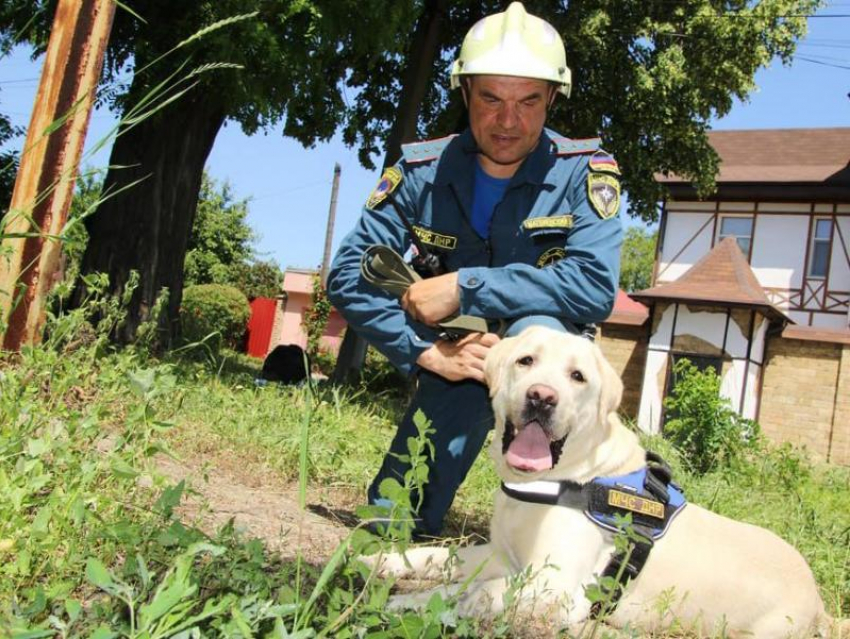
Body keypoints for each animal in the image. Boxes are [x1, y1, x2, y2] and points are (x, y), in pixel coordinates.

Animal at [372, 328, 840, 636]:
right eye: (526, 361)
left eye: (578, 377)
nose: (542, 398)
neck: (558, 481)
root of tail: (820, 604)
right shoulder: (502, 555)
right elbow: (435, 557)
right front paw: (376, 561)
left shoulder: (557, 589)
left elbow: (470, 593)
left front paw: (403, 602)